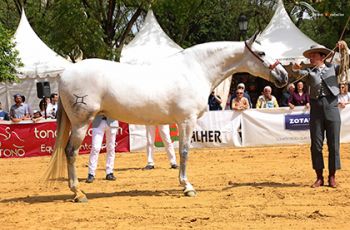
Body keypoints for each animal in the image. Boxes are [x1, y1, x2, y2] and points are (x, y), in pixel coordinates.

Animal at [45, 33, 288, 202]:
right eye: (262, 53)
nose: (284, 76)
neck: (196, 70)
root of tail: (64, 74)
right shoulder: (186, 121)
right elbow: (184, 152)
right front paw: (187, 187)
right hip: (81, 123)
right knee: (70, 152)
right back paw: (78, 193)